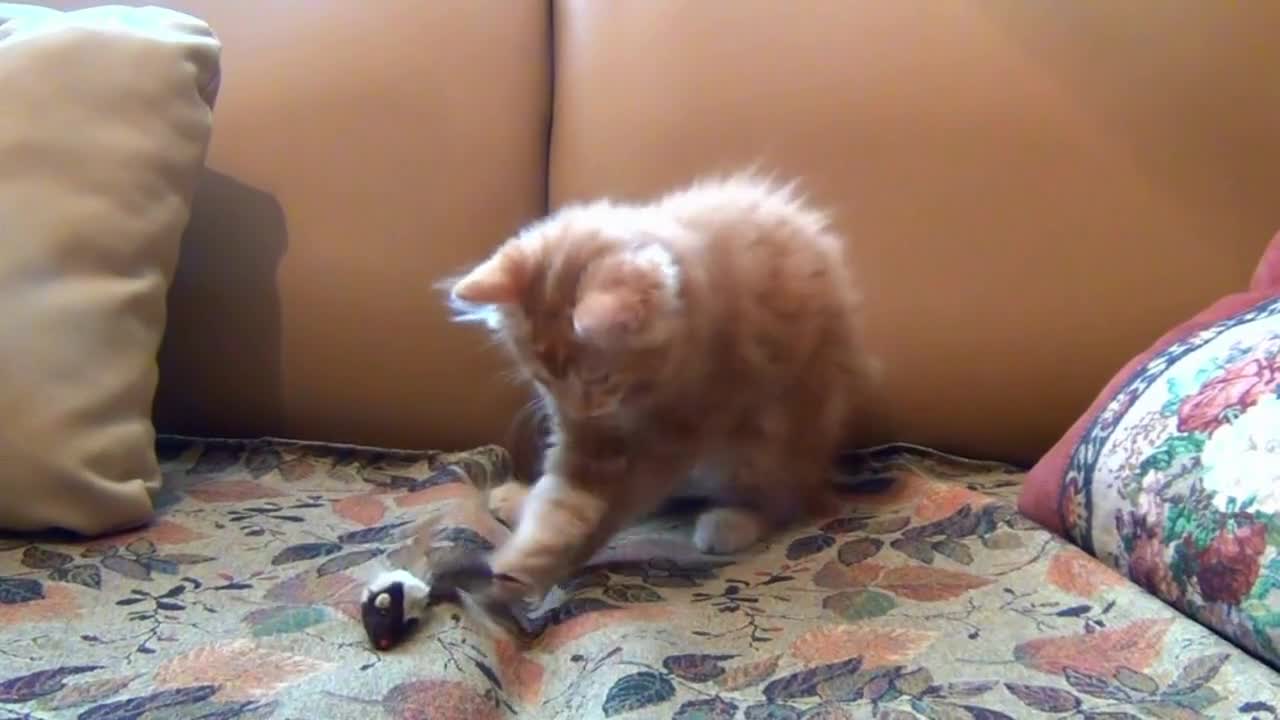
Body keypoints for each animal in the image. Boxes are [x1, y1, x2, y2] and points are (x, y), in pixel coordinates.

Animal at [445, 174, 875, 599]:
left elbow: (607, 508)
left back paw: (733, 522)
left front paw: (521, 576)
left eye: (599, 378)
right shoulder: (590, 438)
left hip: (768, 438)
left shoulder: (680, 429)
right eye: (544, 379)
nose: (580, 409)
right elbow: (563, 499)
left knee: (781, 499)